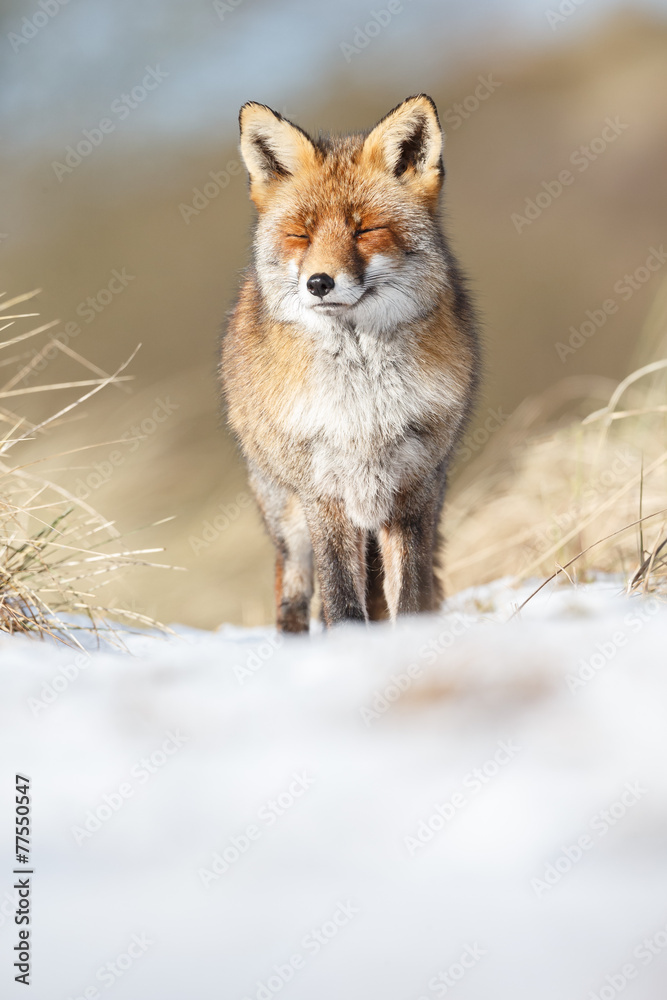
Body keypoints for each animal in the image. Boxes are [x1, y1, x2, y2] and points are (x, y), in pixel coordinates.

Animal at [221, 94, 480, 631]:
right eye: (301, 235)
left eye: (366, 229)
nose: (319, 283)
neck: (364, 408)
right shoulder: (325, 494)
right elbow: (340, 600)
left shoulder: (412, 490)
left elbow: (410, 596)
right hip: (288, 519)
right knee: (295, 596)